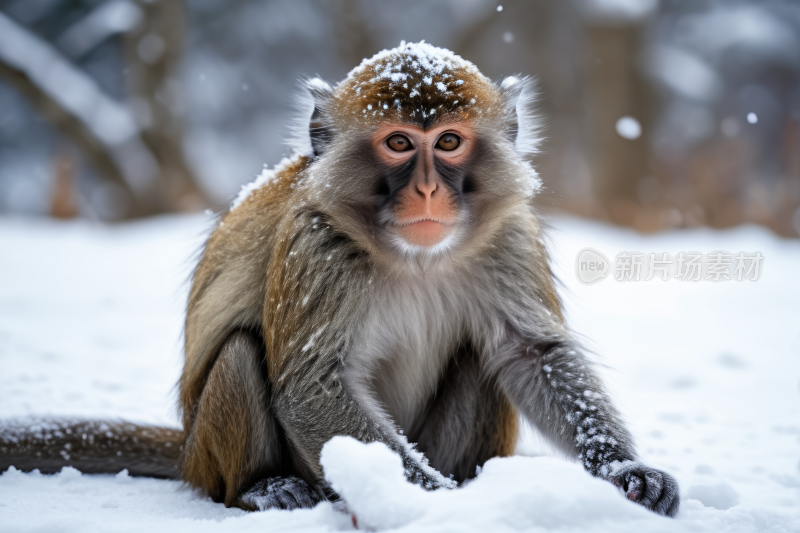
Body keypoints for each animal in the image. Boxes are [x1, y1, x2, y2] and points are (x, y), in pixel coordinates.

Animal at [0, 42, 680, 520]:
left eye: (449, 142)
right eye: (400, 142)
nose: (427, 190)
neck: (412, 257)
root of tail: (188, 453)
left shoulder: (508, 238)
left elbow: (530, 351)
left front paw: (625, 472)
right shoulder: (317, 248)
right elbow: (311, 387)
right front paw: (437, 503)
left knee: (481, 359)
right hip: (210, 462)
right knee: (241, 355)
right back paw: (262, 488)